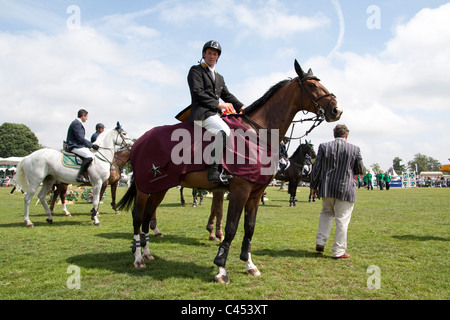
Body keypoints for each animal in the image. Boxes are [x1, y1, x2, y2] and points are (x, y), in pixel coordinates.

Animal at [117, 61, 342, 284]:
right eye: (312, 85)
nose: (336, 110)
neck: (258, 133)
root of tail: (140, 140)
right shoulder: (240, 190)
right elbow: (231, 227)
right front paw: (221, 269)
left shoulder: (255, 193)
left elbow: (249, 227)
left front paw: (249, 264)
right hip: (145, 188)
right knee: (138, 217)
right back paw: (138, 259)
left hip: (159, 188)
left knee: (147, 216)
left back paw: (147, 252)